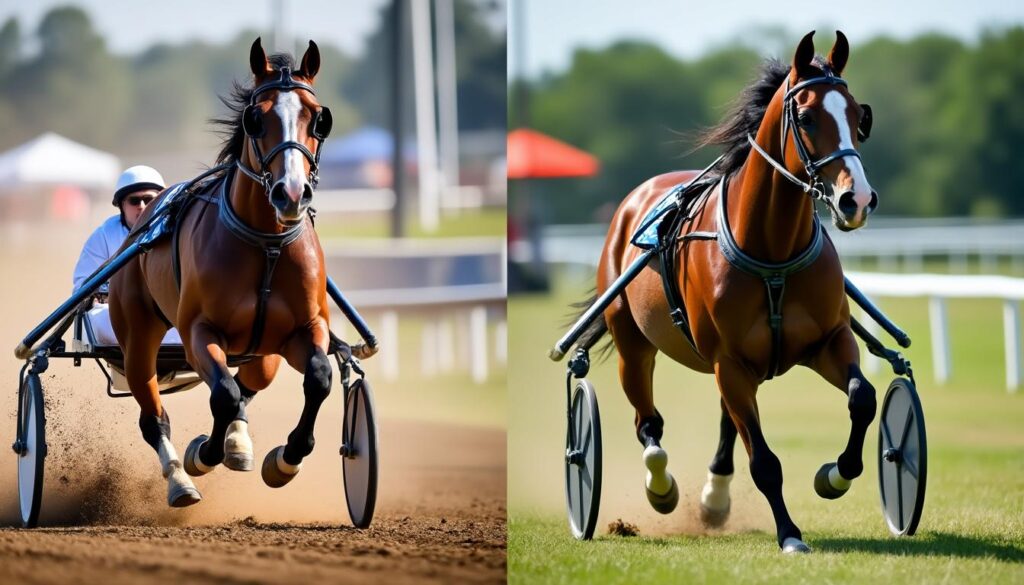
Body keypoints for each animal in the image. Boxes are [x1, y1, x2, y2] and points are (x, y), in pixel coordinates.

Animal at [108, 38, 336, 506]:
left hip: (264, 349)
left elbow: (319, 378)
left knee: (252, 380)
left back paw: (238, 443)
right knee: (153, 414)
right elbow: (224, 395)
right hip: (137, 336)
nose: (290, 193)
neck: (266, 243)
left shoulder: (305, 328)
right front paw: (203, 453)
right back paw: (179, 479)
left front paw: (287, 458)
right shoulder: (199, 331)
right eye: (257, 117)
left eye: (317, 117)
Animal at [578, 31, 878, 553]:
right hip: (634, 344)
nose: (855, 200)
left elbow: (863, 397)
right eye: (806, 117)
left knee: (725, 421)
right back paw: (661, 487)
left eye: (858, 116)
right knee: (648, 424)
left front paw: (835, 475)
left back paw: (714, 499)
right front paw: (790, 534)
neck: (773, 252)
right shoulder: (729, 361)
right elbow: (764, 461)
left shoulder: (826, 341)